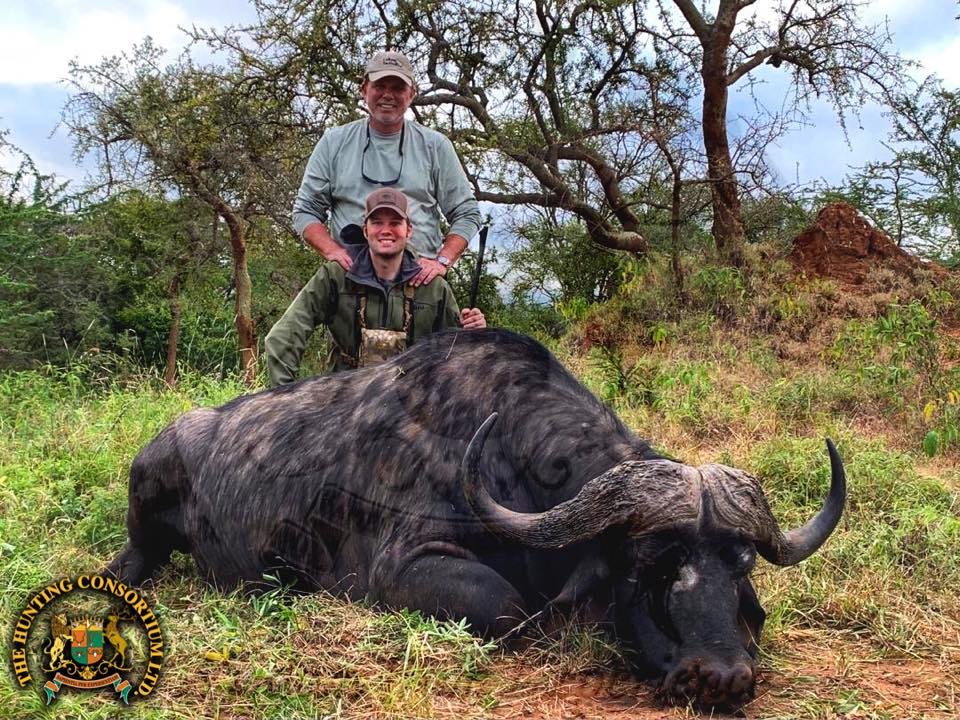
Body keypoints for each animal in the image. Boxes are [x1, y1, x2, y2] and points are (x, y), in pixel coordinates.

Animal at [109, 329, 845, 708]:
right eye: (648, 566)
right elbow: (510, 611)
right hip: (147, 497)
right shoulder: (407, 570)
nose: (721, 677)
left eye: (739, 568)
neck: (505, 463)